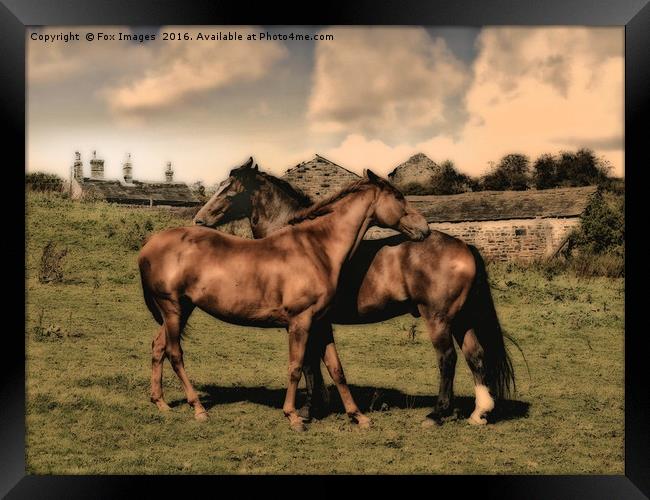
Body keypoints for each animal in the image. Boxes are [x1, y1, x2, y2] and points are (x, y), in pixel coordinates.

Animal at [139, 168, 428, 430]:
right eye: (398, 196)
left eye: (230, 190)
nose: (424, 228)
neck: (316, 248)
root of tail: (149, 246)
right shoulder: (300, 322)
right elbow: (297, 367)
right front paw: (294, 416)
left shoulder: (320, 323)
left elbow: (336, 369)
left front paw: (358, 416)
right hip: (173, 308)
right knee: (174, 353)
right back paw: (198, 408)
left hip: (180, 310)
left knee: (158, 346)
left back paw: (161, 402)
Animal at [191, 159, 512, 426]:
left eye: (229, 191)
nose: (198, 221)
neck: (309, 242)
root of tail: (464, 246)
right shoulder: (317, 322)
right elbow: (318, 364)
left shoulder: (306, 321)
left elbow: (308, 364)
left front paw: (307, 410)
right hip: (461, 319)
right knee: (475, 356)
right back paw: (479, 413)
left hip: (439, 318)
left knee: (448, 359)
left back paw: (437, 414)